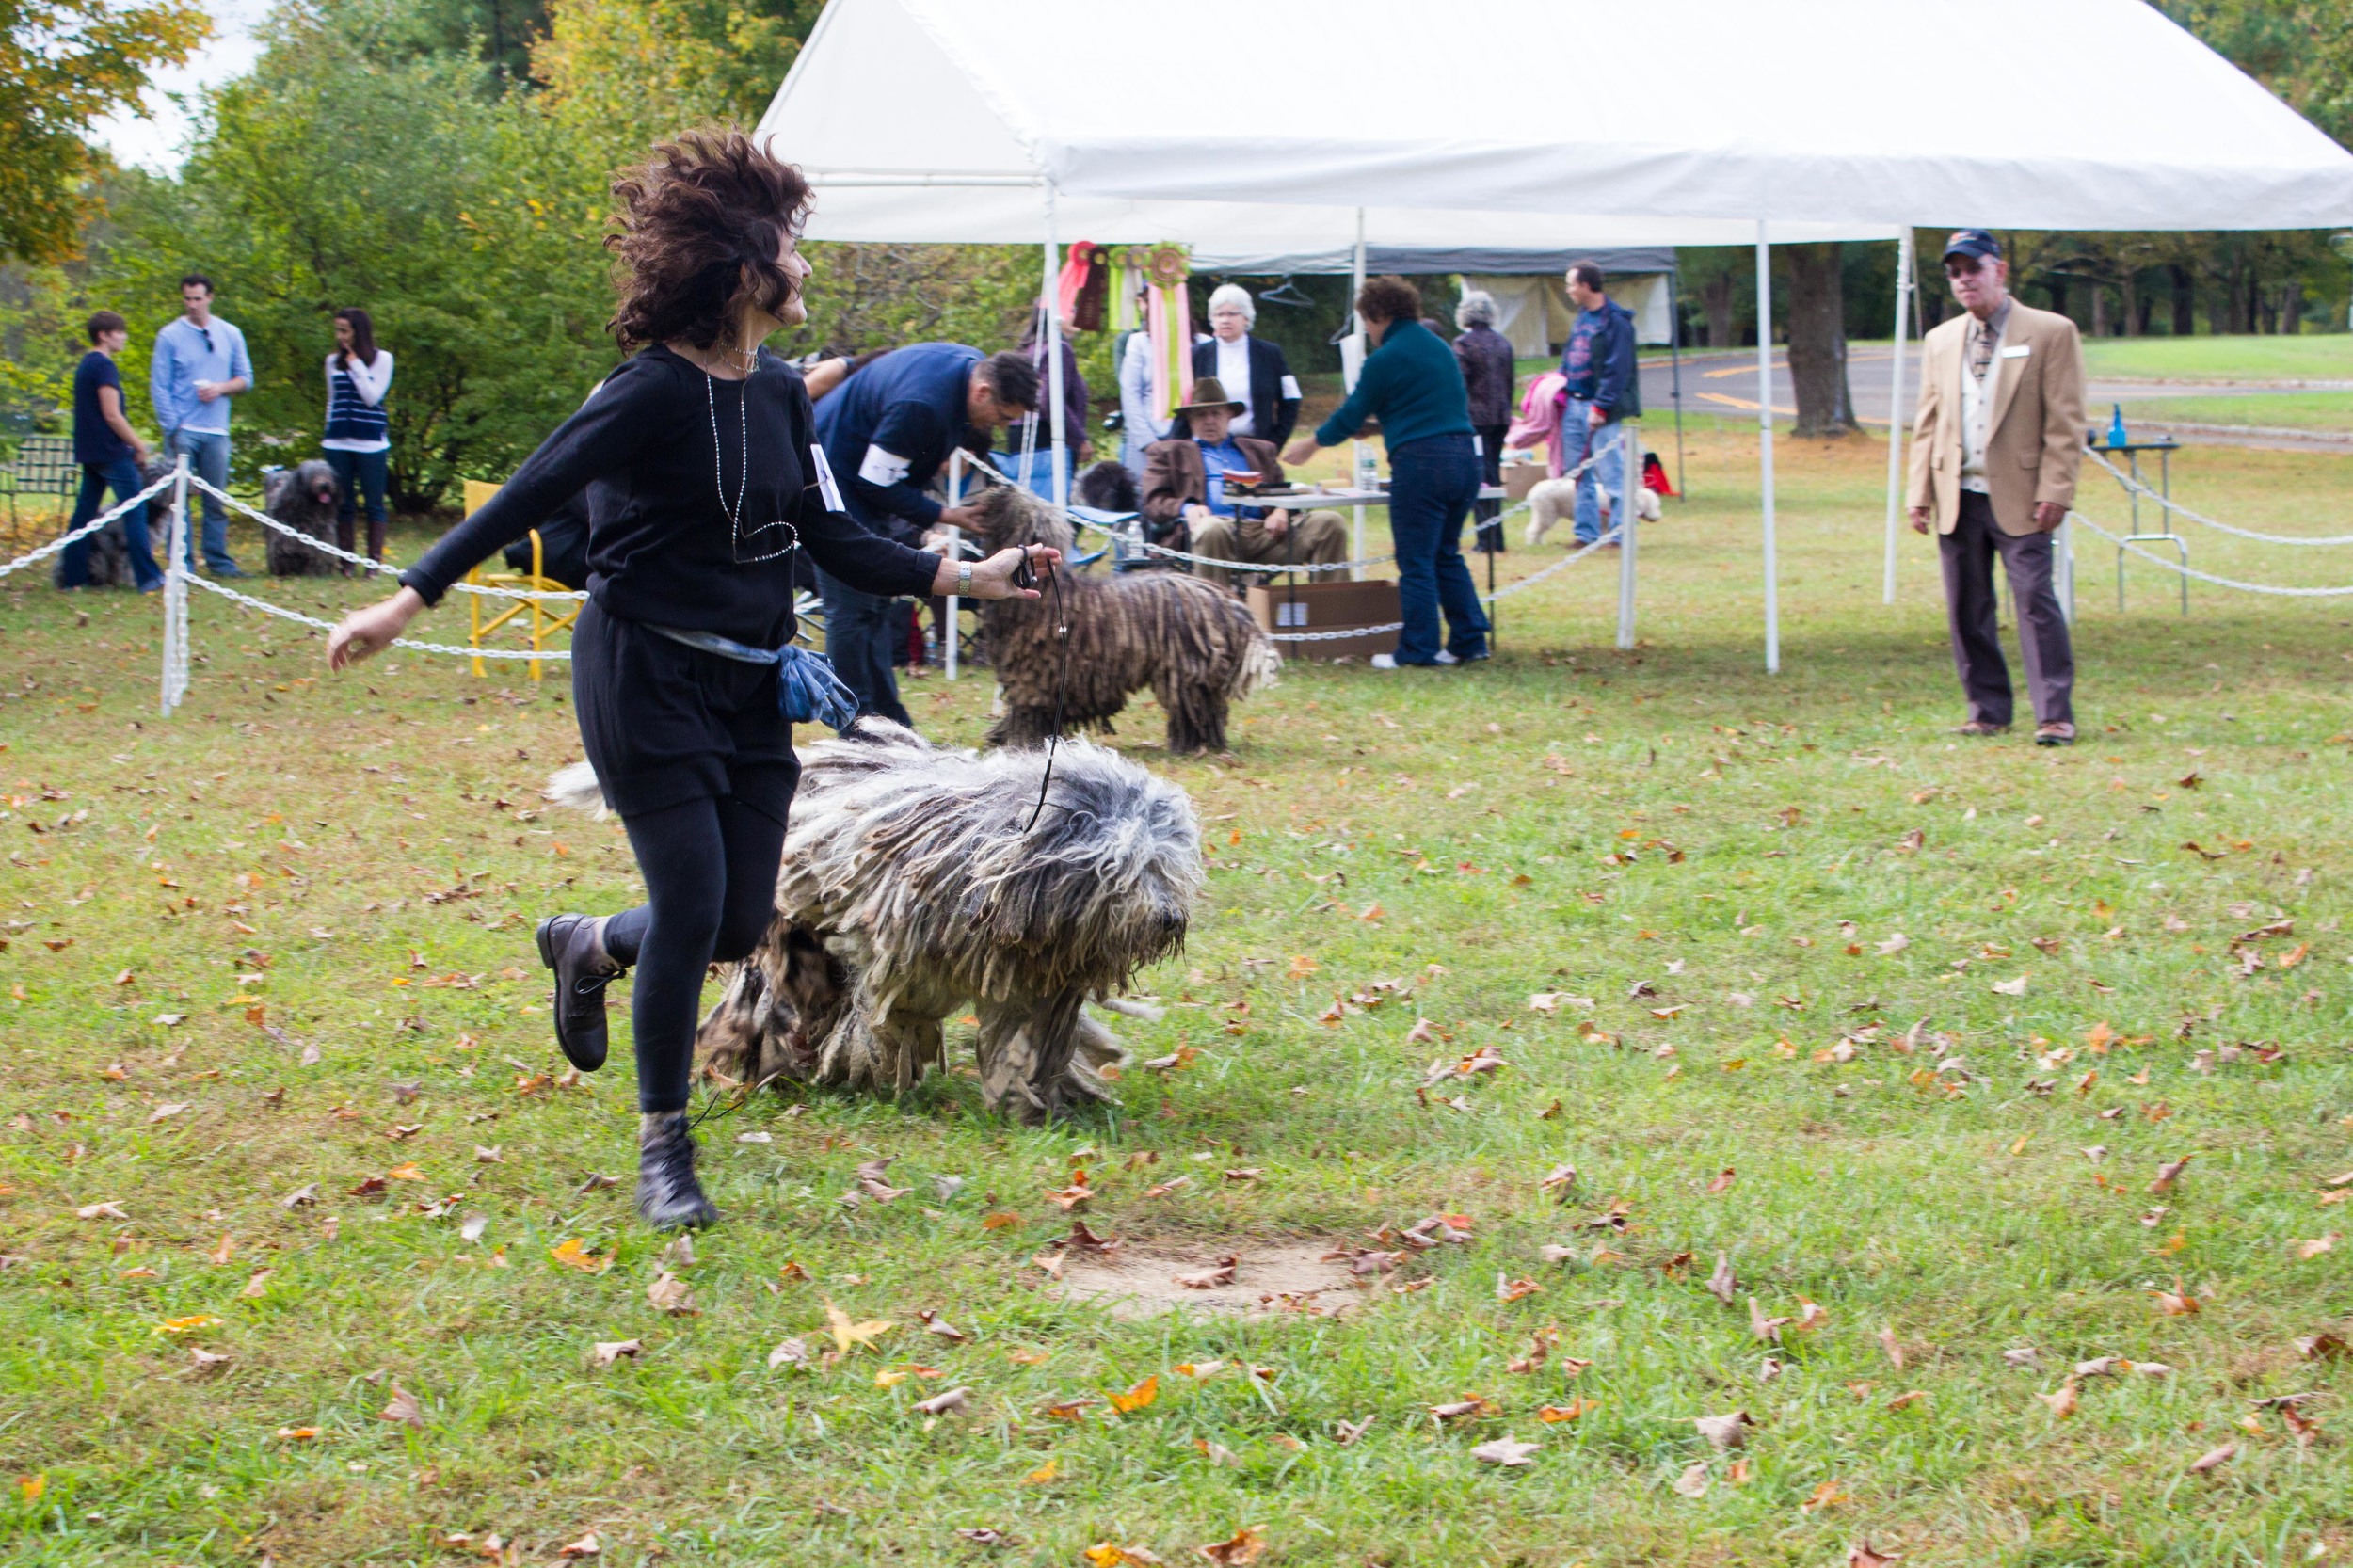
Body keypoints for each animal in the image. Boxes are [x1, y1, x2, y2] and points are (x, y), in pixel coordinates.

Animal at [551, 720, 1205, 1125]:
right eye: (1124, 866)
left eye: (1167, 864)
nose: (1170, 918)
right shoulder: (897, 961)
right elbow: (880, 1024)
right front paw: (867, 1070)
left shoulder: (1039, 981)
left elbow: (1032, 1046)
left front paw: (1050, 1098)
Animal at [955, 475, 1280, 753]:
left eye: (1015, 499)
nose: (1000, 483)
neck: (1044, 595)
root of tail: (1228, 603)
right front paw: (1005, 735)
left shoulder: (1033, 678)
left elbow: (1026, 713)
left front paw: (1019, 744)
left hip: (1187, 670)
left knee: (1194, 708)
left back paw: (1191, 745)